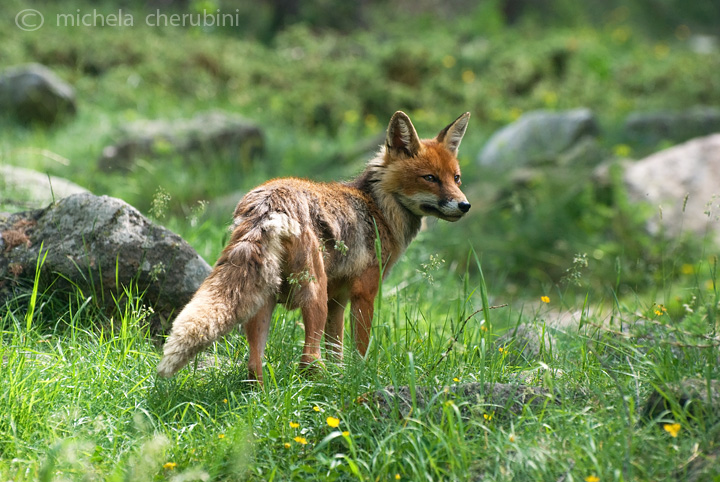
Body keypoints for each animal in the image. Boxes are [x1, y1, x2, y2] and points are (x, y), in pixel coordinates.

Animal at [158, 110, 472, 384]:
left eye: (456, 178)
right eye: (429, 178)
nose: (465, 205)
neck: (378, 208)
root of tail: (269, 202)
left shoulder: (338, 299)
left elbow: (337, 351)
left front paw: (344, 376)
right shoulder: (364, 293)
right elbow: (359, 351)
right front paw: (358, 380)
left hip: (264, 300)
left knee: (254, 364)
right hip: (313, 295)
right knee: (308, 359)